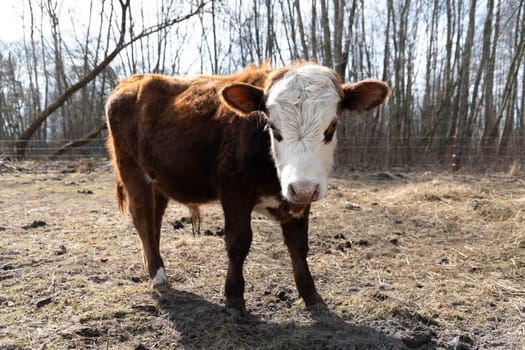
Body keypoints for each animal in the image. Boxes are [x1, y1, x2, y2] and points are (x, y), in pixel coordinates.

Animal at [104, 61, 388, 316]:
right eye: (273, 127)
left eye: (332, 126)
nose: (303, 188)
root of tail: (132, 81)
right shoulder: (234, 192)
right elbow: (238, 243)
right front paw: (234, 299)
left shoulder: (298, 199)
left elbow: (298, 246)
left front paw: (311, 296)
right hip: (132, 171)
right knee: (142, 217)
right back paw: (158, 275)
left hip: (159, 181)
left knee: (155, 221)